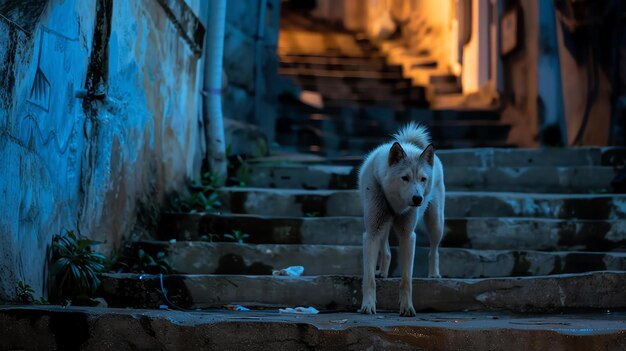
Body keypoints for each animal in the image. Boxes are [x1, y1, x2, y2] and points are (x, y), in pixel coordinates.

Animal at [356, 123, 444, 316]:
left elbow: (406, 280)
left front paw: (407, 308)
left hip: (436, 223)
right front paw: (368, 306)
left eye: (422, 179)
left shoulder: (407, 237)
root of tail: (409, 143)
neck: (397, 203)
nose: (417, 199)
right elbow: (369, 278)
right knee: (386, 250)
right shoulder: (371, 234)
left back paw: (434, 274)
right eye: (405, 178)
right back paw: (382, 272)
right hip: (382, 224)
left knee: (434, 250)